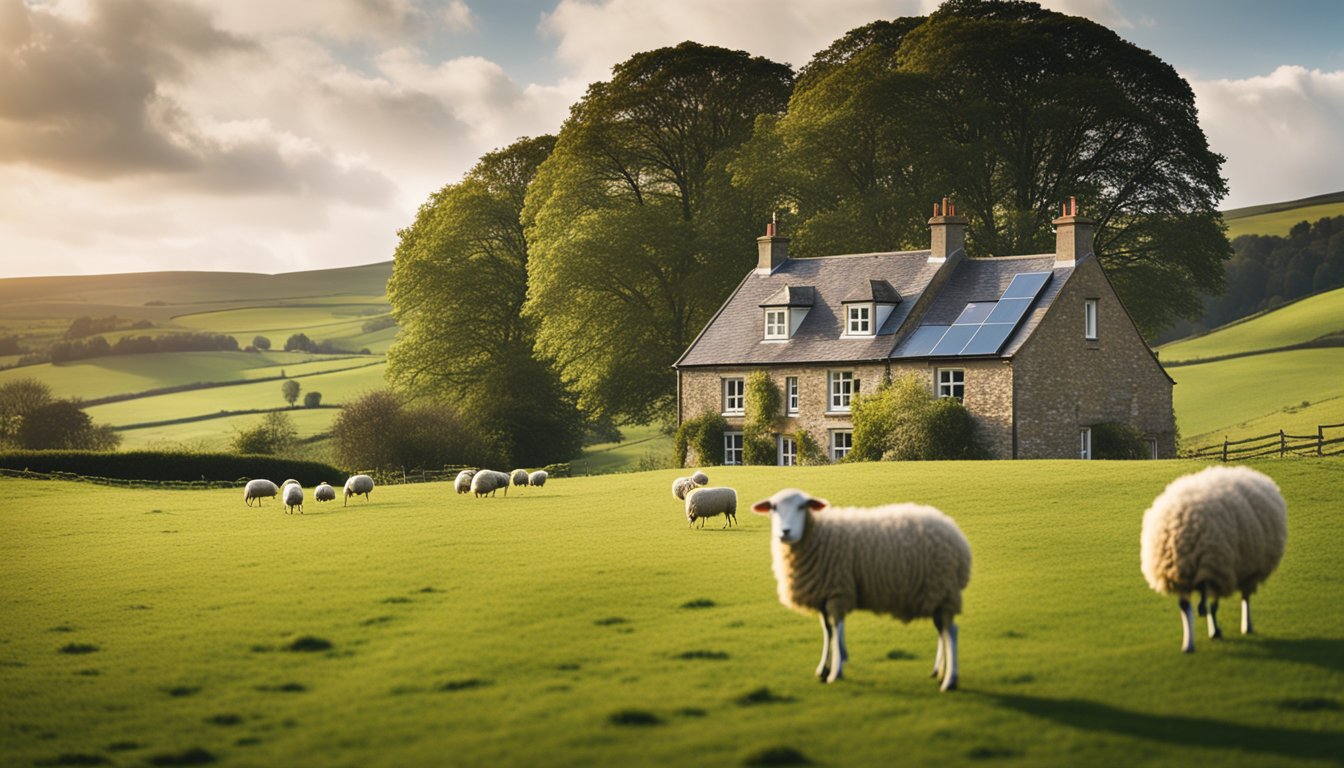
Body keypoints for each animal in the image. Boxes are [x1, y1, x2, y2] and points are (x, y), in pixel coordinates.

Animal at [752, 489, 973, 694]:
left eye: (802, 506)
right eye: (773, 507)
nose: (785, 532)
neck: (817, 534)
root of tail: (956, 534)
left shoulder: (838, 593)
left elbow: (837, 629)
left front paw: (835, 672)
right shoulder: (823, 596)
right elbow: (828, 631)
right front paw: (823, 669)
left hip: (943, 589)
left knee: (951, 632)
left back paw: (949, 681)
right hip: (937, 595)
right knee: (943, 632)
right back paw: (940, 672)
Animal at [1139, 462, 1284, 656]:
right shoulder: (1235, 569)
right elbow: (1229, 601)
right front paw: (1231, 628)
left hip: (1182, 572)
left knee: (1186, 606)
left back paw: (1189, 644)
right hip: (1218, 564)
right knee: (1218, 601)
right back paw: (1227, 629)